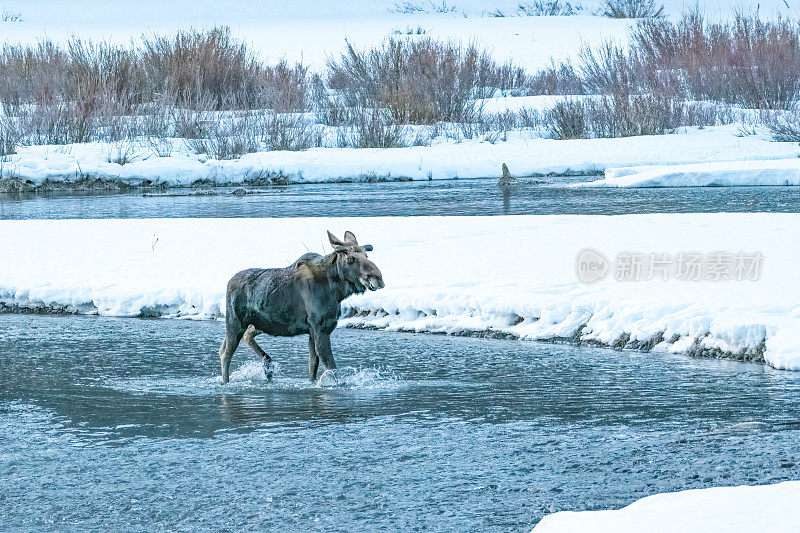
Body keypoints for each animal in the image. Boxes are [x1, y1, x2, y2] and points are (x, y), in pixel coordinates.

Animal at [217, 229, 382, 382]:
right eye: (350, 259)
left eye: (366, 256)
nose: (378, 278)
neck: (336, 291)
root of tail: (229, 282)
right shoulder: (320, 329)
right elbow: (331, 368)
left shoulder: (314, 331)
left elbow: (313, 367)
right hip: (235, 322)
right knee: (226, 353)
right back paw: (228, 381)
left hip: (260, 323)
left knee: (241, 338)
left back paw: (268, 366)